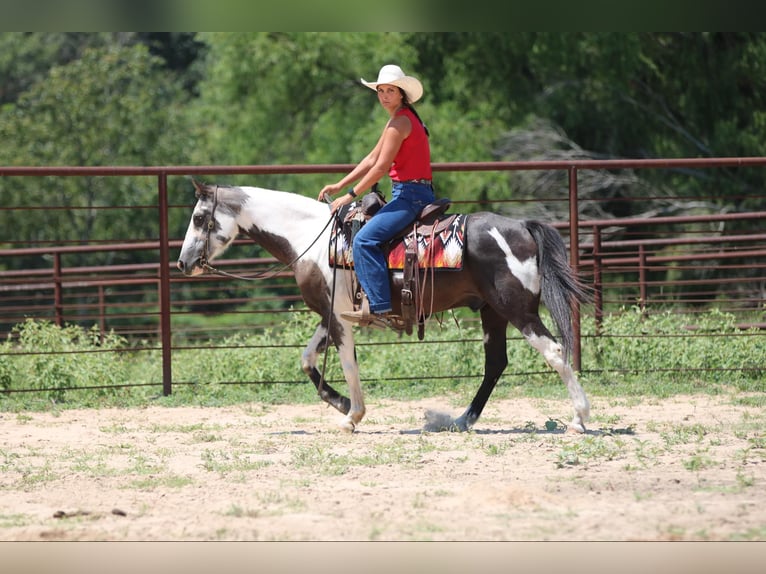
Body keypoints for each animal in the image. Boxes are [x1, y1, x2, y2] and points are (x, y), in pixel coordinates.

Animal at [177, 180, 591, 433]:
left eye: (198, 217)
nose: (183, 263)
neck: (311, 238)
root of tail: (520, 226)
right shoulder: (331, 315)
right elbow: (307, 359)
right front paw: (340, 402)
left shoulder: (338, 320)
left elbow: (348, 365)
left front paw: (352, 415)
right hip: (492, 312)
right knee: (495, 364)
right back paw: (462, 420)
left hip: (518, 310)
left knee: (554, 352)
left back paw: (579, 418)